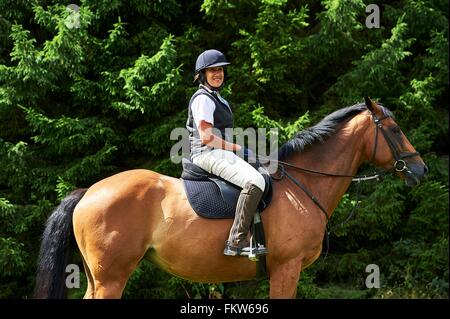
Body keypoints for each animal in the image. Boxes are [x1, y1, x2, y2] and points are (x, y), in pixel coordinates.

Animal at [33, 97, 428, 300]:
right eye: (395, 130)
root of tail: (89, 191)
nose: (420, 170)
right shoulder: (287, 267)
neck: (302, 184)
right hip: (112, 277)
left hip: (99, 277)